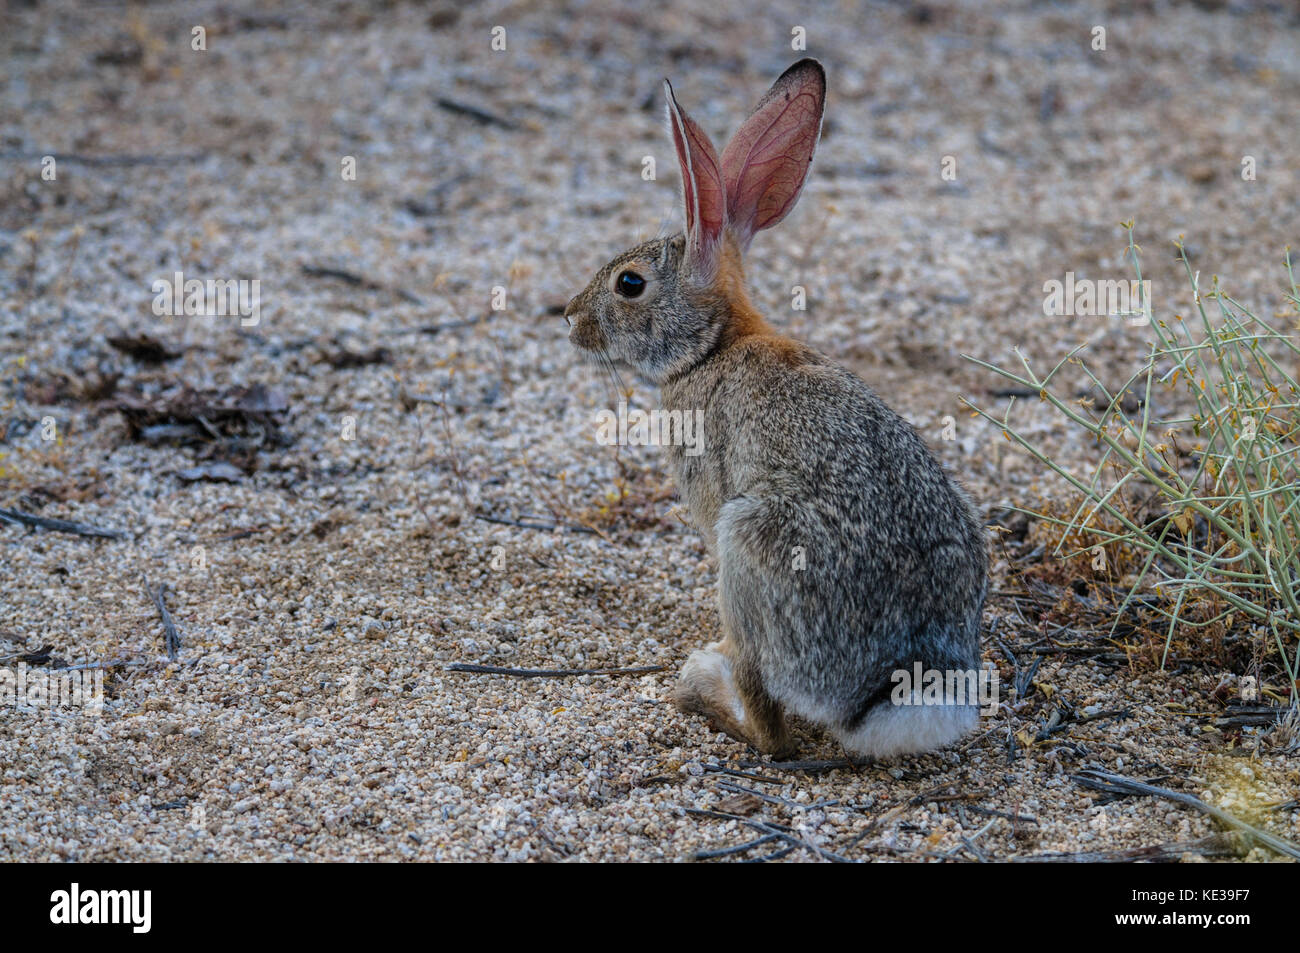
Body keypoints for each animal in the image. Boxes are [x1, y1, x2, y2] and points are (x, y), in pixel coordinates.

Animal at [564, 59, 988, 759]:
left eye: (630, 284)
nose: (570, 318)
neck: (712, 345)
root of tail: (888, 694)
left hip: (746, 543)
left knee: (771, 728)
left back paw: (705, 689)